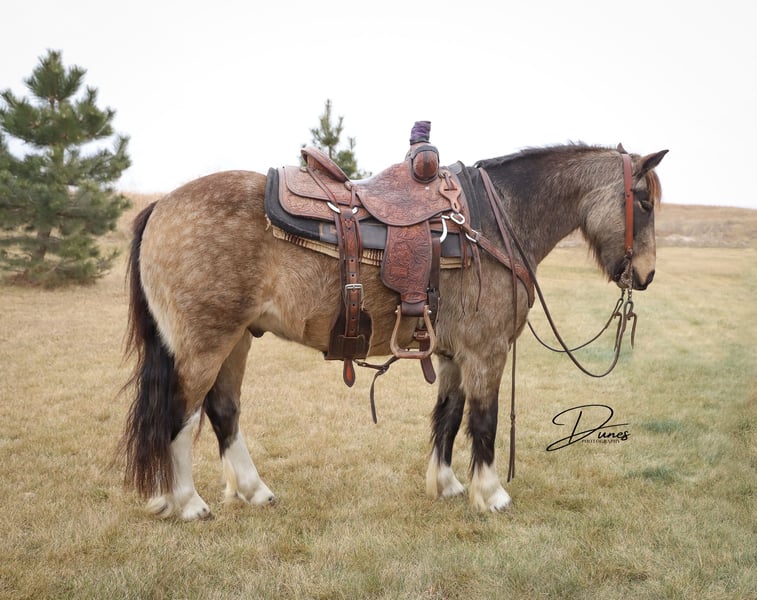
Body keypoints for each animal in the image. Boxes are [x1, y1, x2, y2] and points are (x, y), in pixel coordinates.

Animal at [120, 142, 666, 520]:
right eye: (643, 201)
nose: (646, 275)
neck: (495, 222)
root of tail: (160, 206)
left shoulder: (451, 355)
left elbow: (448, 416)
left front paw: (446, 485)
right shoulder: (486, 352)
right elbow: (483, 421)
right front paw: (490, 494)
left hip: (236, 341)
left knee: (223, 410)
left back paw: (252, 490)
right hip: (205, 344)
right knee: (181, 415)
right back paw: (187, 502)